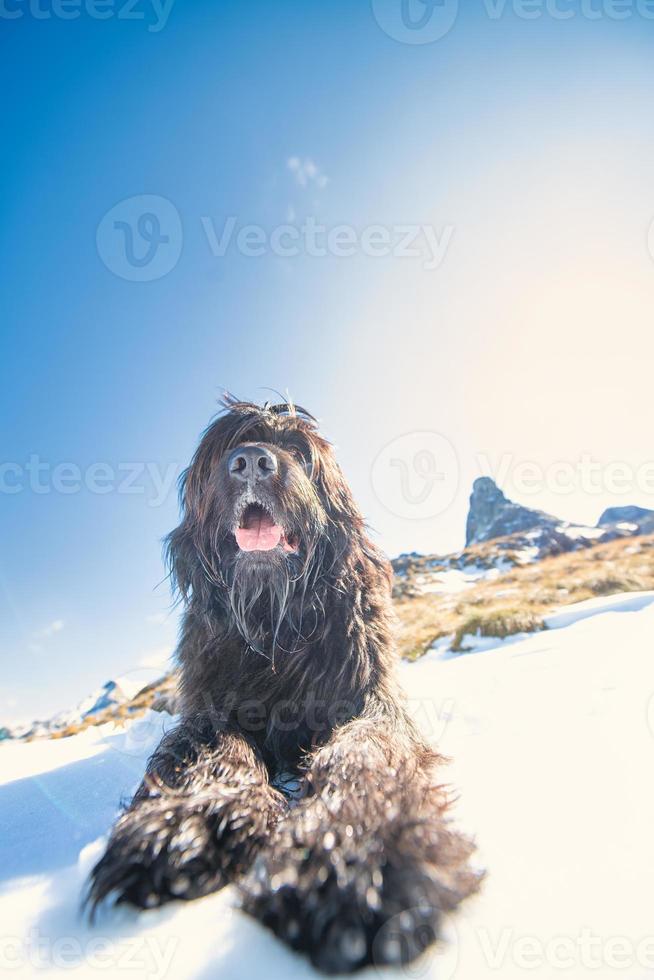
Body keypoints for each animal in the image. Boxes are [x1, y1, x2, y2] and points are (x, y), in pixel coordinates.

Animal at [87, 396, 482, 972]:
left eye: (296, 447)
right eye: (228, 446)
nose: (252, 461)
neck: (275, 626)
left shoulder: (370, 700)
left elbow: (362, 754)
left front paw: (357, 854)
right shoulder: (210, 705)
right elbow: (213, 749)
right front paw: (190, 825)